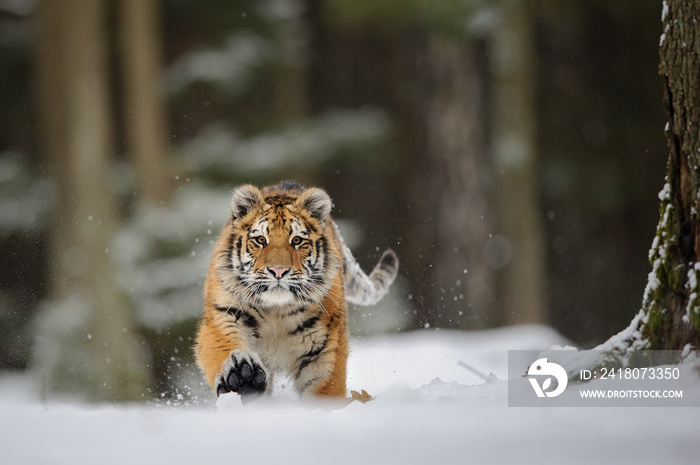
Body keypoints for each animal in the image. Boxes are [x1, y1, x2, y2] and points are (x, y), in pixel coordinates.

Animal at [194, 179, 400, 400]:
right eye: (260, 240)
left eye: (297, 241)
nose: (278, 270)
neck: (275, 312)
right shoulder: (222, 316)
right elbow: (223, 346)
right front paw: (242, 375)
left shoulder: (325, 350)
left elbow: (326, 393)